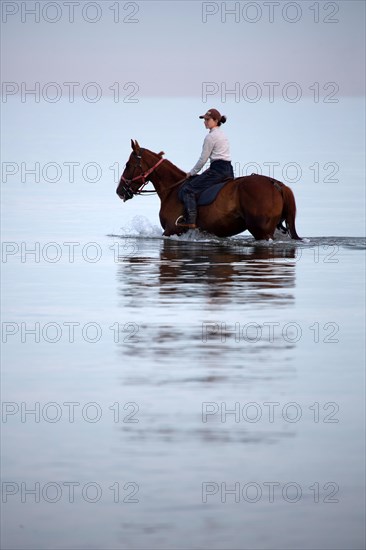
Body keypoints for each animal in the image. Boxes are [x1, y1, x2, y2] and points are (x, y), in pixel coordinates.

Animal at [116, 139, 300, 240]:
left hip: (262, 231)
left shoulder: (171, 231)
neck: (172, 189)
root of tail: (275, 183)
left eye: (128, 165)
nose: (119, 191)